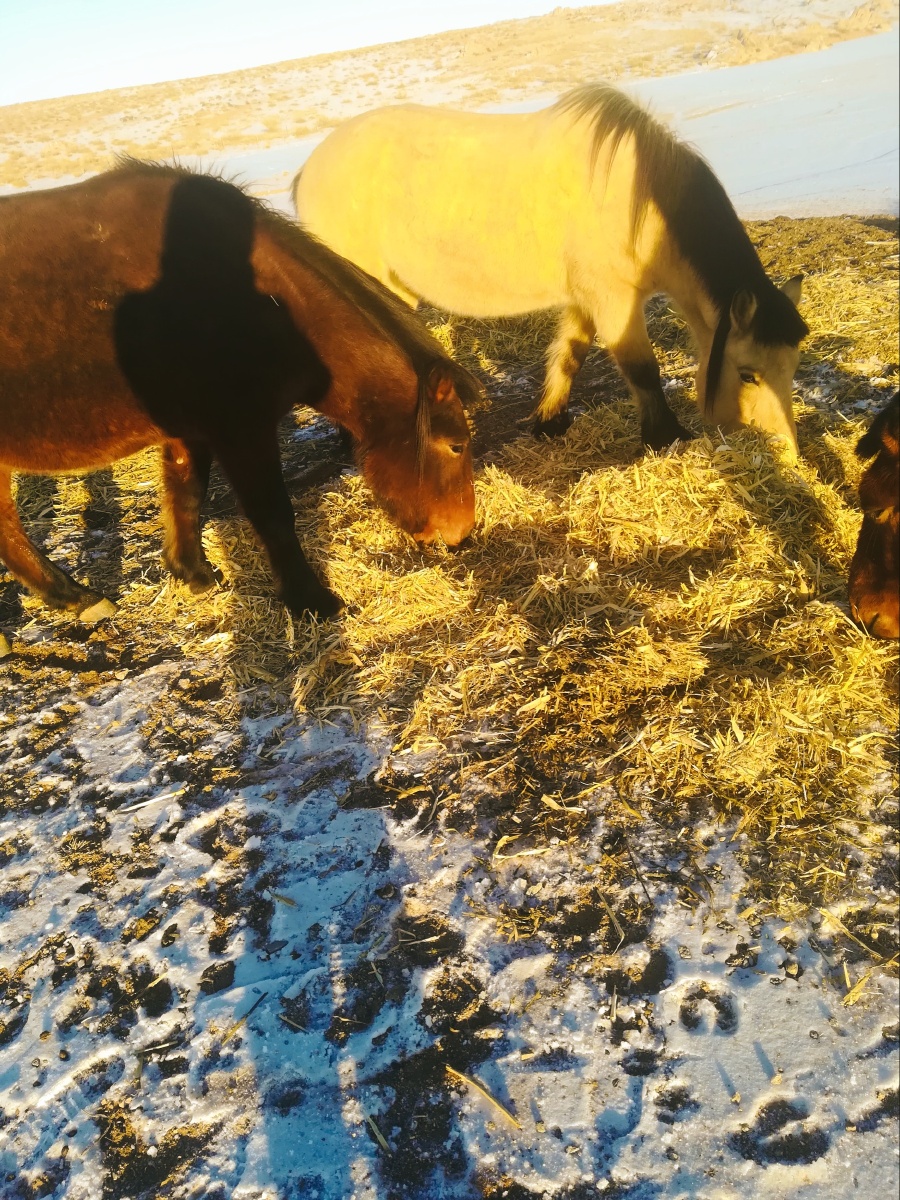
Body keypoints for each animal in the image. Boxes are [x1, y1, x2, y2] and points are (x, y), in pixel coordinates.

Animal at [0, 162, 477, 623]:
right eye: (456, 445)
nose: (462, 535)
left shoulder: (191, 430)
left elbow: (187, 492)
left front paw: (193, 573)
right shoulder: (241, 431)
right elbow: (273, 515)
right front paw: (311, 601)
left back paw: (76, 599)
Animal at [293, 86, 808, 451]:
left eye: (793, 365)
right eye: (748, 374)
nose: (785, 451)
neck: (642, 199)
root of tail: (308, 169)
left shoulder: (587, 299)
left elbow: (569, 356)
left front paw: (548, 421)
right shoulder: (615, 300)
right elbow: (643, 369)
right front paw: (665, 437)